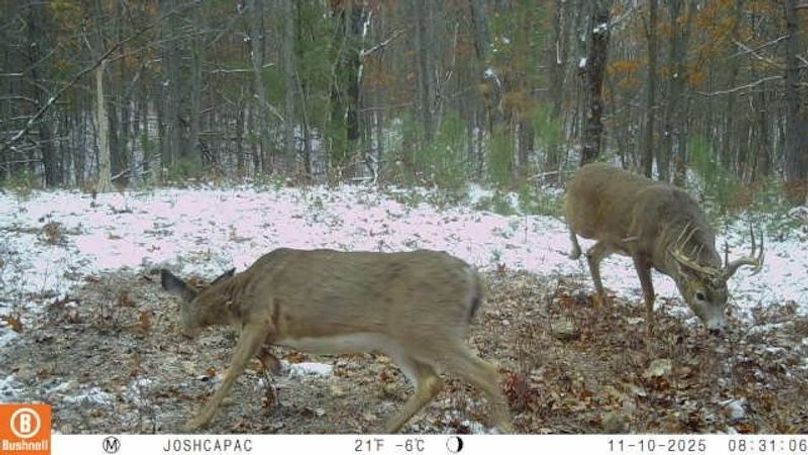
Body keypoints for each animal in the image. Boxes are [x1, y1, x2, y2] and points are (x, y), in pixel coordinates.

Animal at [160, 248, 513, 433]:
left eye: (179, 307)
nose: (182, 330)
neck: (238, 297)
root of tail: (473, 279)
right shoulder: (263, 326)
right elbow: (257, 354)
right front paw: (275, 364)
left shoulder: (259, 318)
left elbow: (233, 369)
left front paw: (196, 421)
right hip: (400, 341)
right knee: (431, 382)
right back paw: (383, 430)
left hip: (430, 330)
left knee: (486, 370)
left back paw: (505, 428)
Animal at [564, 163, 764, 334]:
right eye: (700, 295)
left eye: (725, 297)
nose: (717, 329)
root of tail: (579, 172)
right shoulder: (637, 249)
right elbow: (649, 294)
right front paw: (650, 330)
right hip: (584, 221)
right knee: (568, 218)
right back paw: (574, 251)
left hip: (613, 240)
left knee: (592, 255)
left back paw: (603, 302)